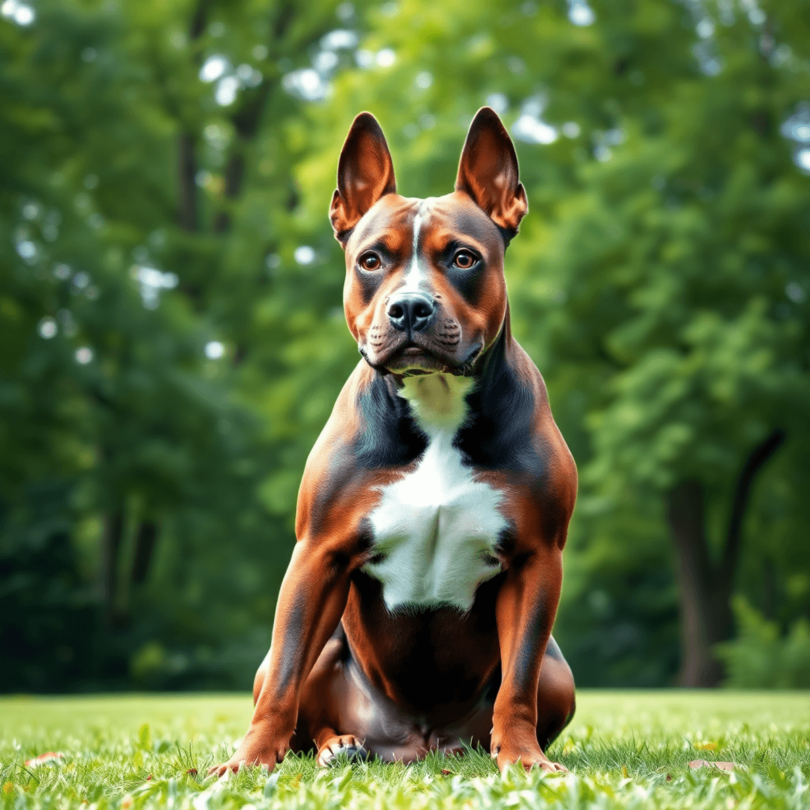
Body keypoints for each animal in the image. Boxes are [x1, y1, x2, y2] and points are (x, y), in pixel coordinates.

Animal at [208, 104, 576, 772]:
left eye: (463, 259)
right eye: (371, 261)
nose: (409, 308)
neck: (436, 406)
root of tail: (415, 743)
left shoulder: (538, 561)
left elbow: (518, 683)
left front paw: (524, 761)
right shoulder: (317, 555)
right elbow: (284, 680)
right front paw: (247, 763)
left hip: (559, 673)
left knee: (528, 685)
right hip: (319, 643)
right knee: (299, 695)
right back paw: (339, 745)